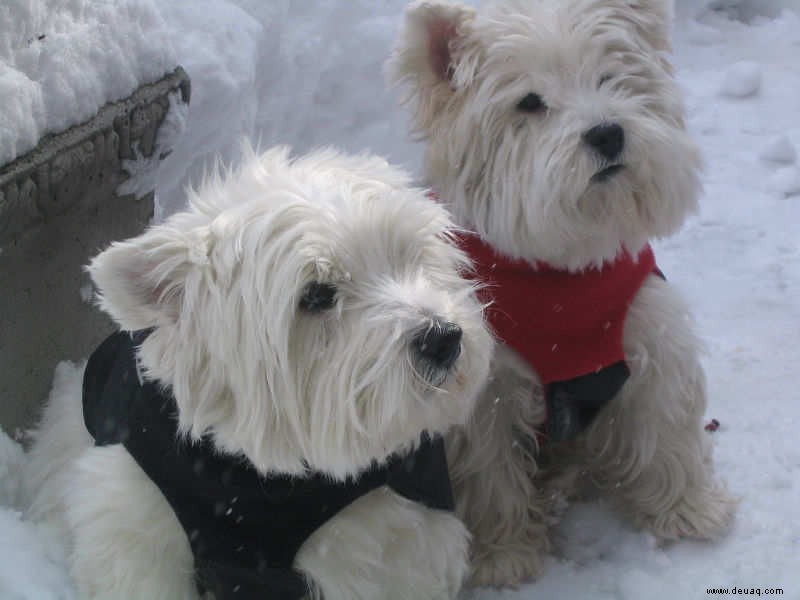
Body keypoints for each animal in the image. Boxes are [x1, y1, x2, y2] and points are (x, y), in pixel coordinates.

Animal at [23, 146, 494, 600]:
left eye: (410, 257)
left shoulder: (391, 540)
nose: (443, 338)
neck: (260, 478)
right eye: (316, 295)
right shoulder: (136, 524)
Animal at [388, 0, 736, 588]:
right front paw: (503, 556)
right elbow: (490, 473)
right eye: (530, 102)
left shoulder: (649, 340)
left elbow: (665, 432)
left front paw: (689, 511)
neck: (563, 274)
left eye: (610, 78)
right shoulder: (485, 390)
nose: (608, 133)